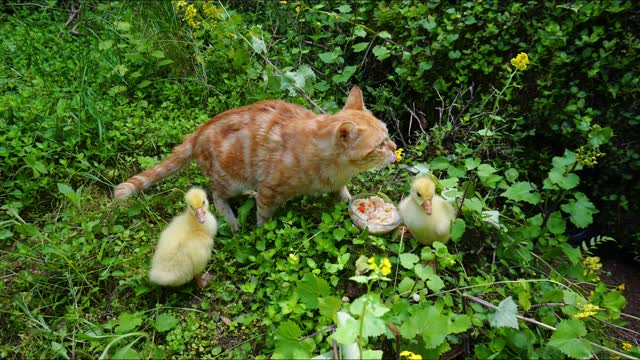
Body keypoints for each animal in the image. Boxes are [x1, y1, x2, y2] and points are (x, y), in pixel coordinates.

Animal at [114, 86, 396, 231]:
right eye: (380, 145)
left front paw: (349, 202)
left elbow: (344, 194)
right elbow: (264, 216)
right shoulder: (271, 188)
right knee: (216, 195)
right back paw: (232, 220)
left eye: (388, 133)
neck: (337, 168)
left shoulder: (337, 183)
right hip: (229, 178)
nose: (395, 148)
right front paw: (262, 233)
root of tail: (198, 132)